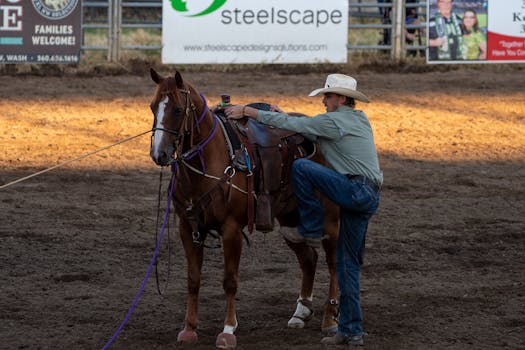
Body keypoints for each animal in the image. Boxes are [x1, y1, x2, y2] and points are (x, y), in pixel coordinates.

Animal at [147, 67, 340, 348]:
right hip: (290, 218)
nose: (159, 154)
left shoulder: (231, 230)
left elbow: (230, 281)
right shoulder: (188, 227)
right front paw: (189, 328)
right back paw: (301, 312)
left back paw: (331, 320)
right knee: (308, 258)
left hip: (329, 218)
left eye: (178, 110)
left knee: (334, 262)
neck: (211, 161)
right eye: (153, 107)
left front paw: (228, 330)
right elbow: (193, 279)